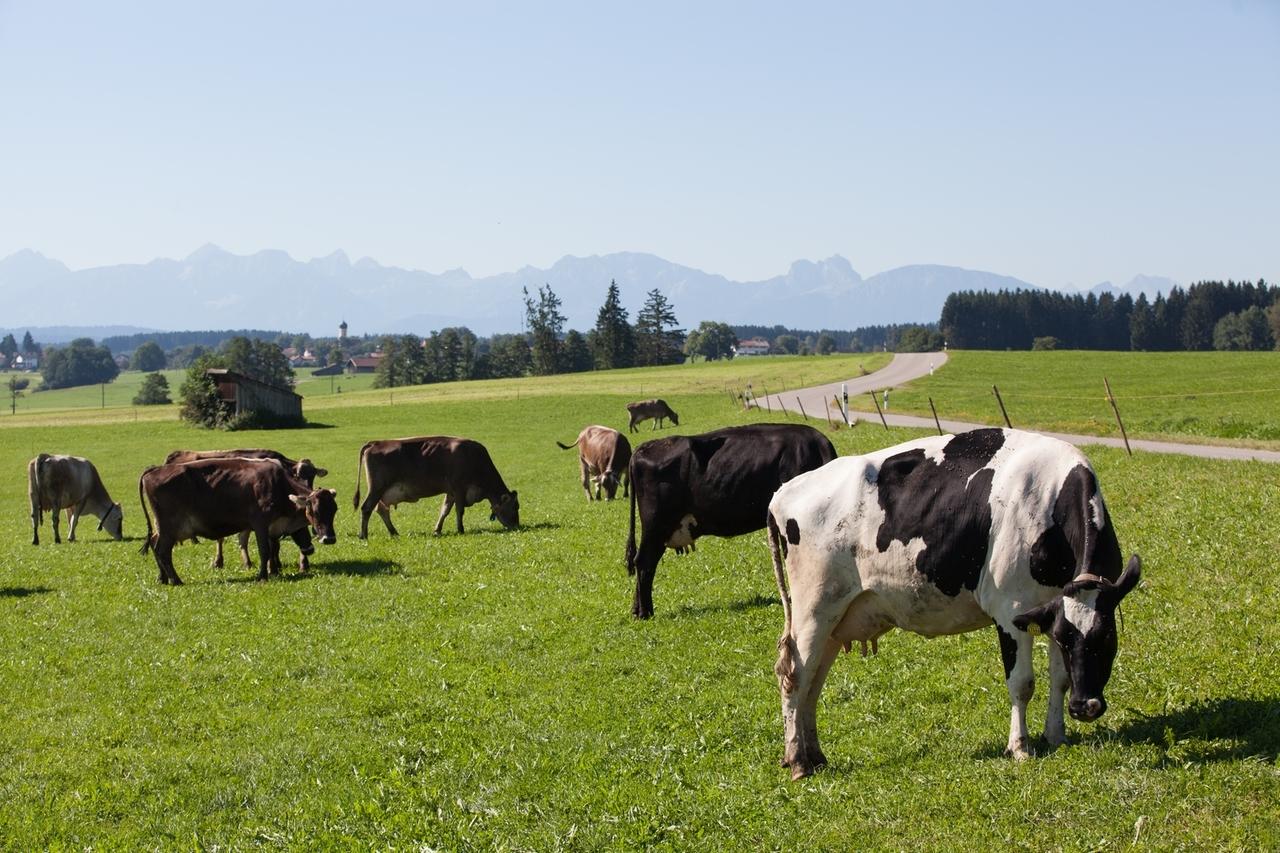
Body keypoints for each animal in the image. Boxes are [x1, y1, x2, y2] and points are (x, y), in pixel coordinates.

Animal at [353, 436, 519, 538]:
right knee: (367, 508)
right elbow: (459, 511)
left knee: (381, 510)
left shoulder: (451, 492)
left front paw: (437, 530)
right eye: (514, 507)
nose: (517, 526)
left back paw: (394, 532)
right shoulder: (459, 488)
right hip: (377, 488)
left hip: (382, 493)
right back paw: (364, 535)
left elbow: (444, 511)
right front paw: (461, 530)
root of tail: (376, 442)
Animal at [625, 423, 837, 618]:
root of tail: (644, 447)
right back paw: (645, 612)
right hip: (656, 525)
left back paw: (636, 610)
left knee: (643, 562)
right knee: (644, 562)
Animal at [767, 428, 1142, 780]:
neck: (1050, 502)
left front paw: (1056, 735)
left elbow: (1060, 677)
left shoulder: (1051, 612)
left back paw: (815, 755)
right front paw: (1020, 747)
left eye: (1108, 637)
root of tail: (783, 492)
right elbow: (1022, 683)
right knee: (795, 676)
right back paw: (798, 761)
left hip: (836, 618)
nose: (1085, 706)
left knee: (813, 683)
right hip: (813, 609)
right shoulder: (1011, 611)